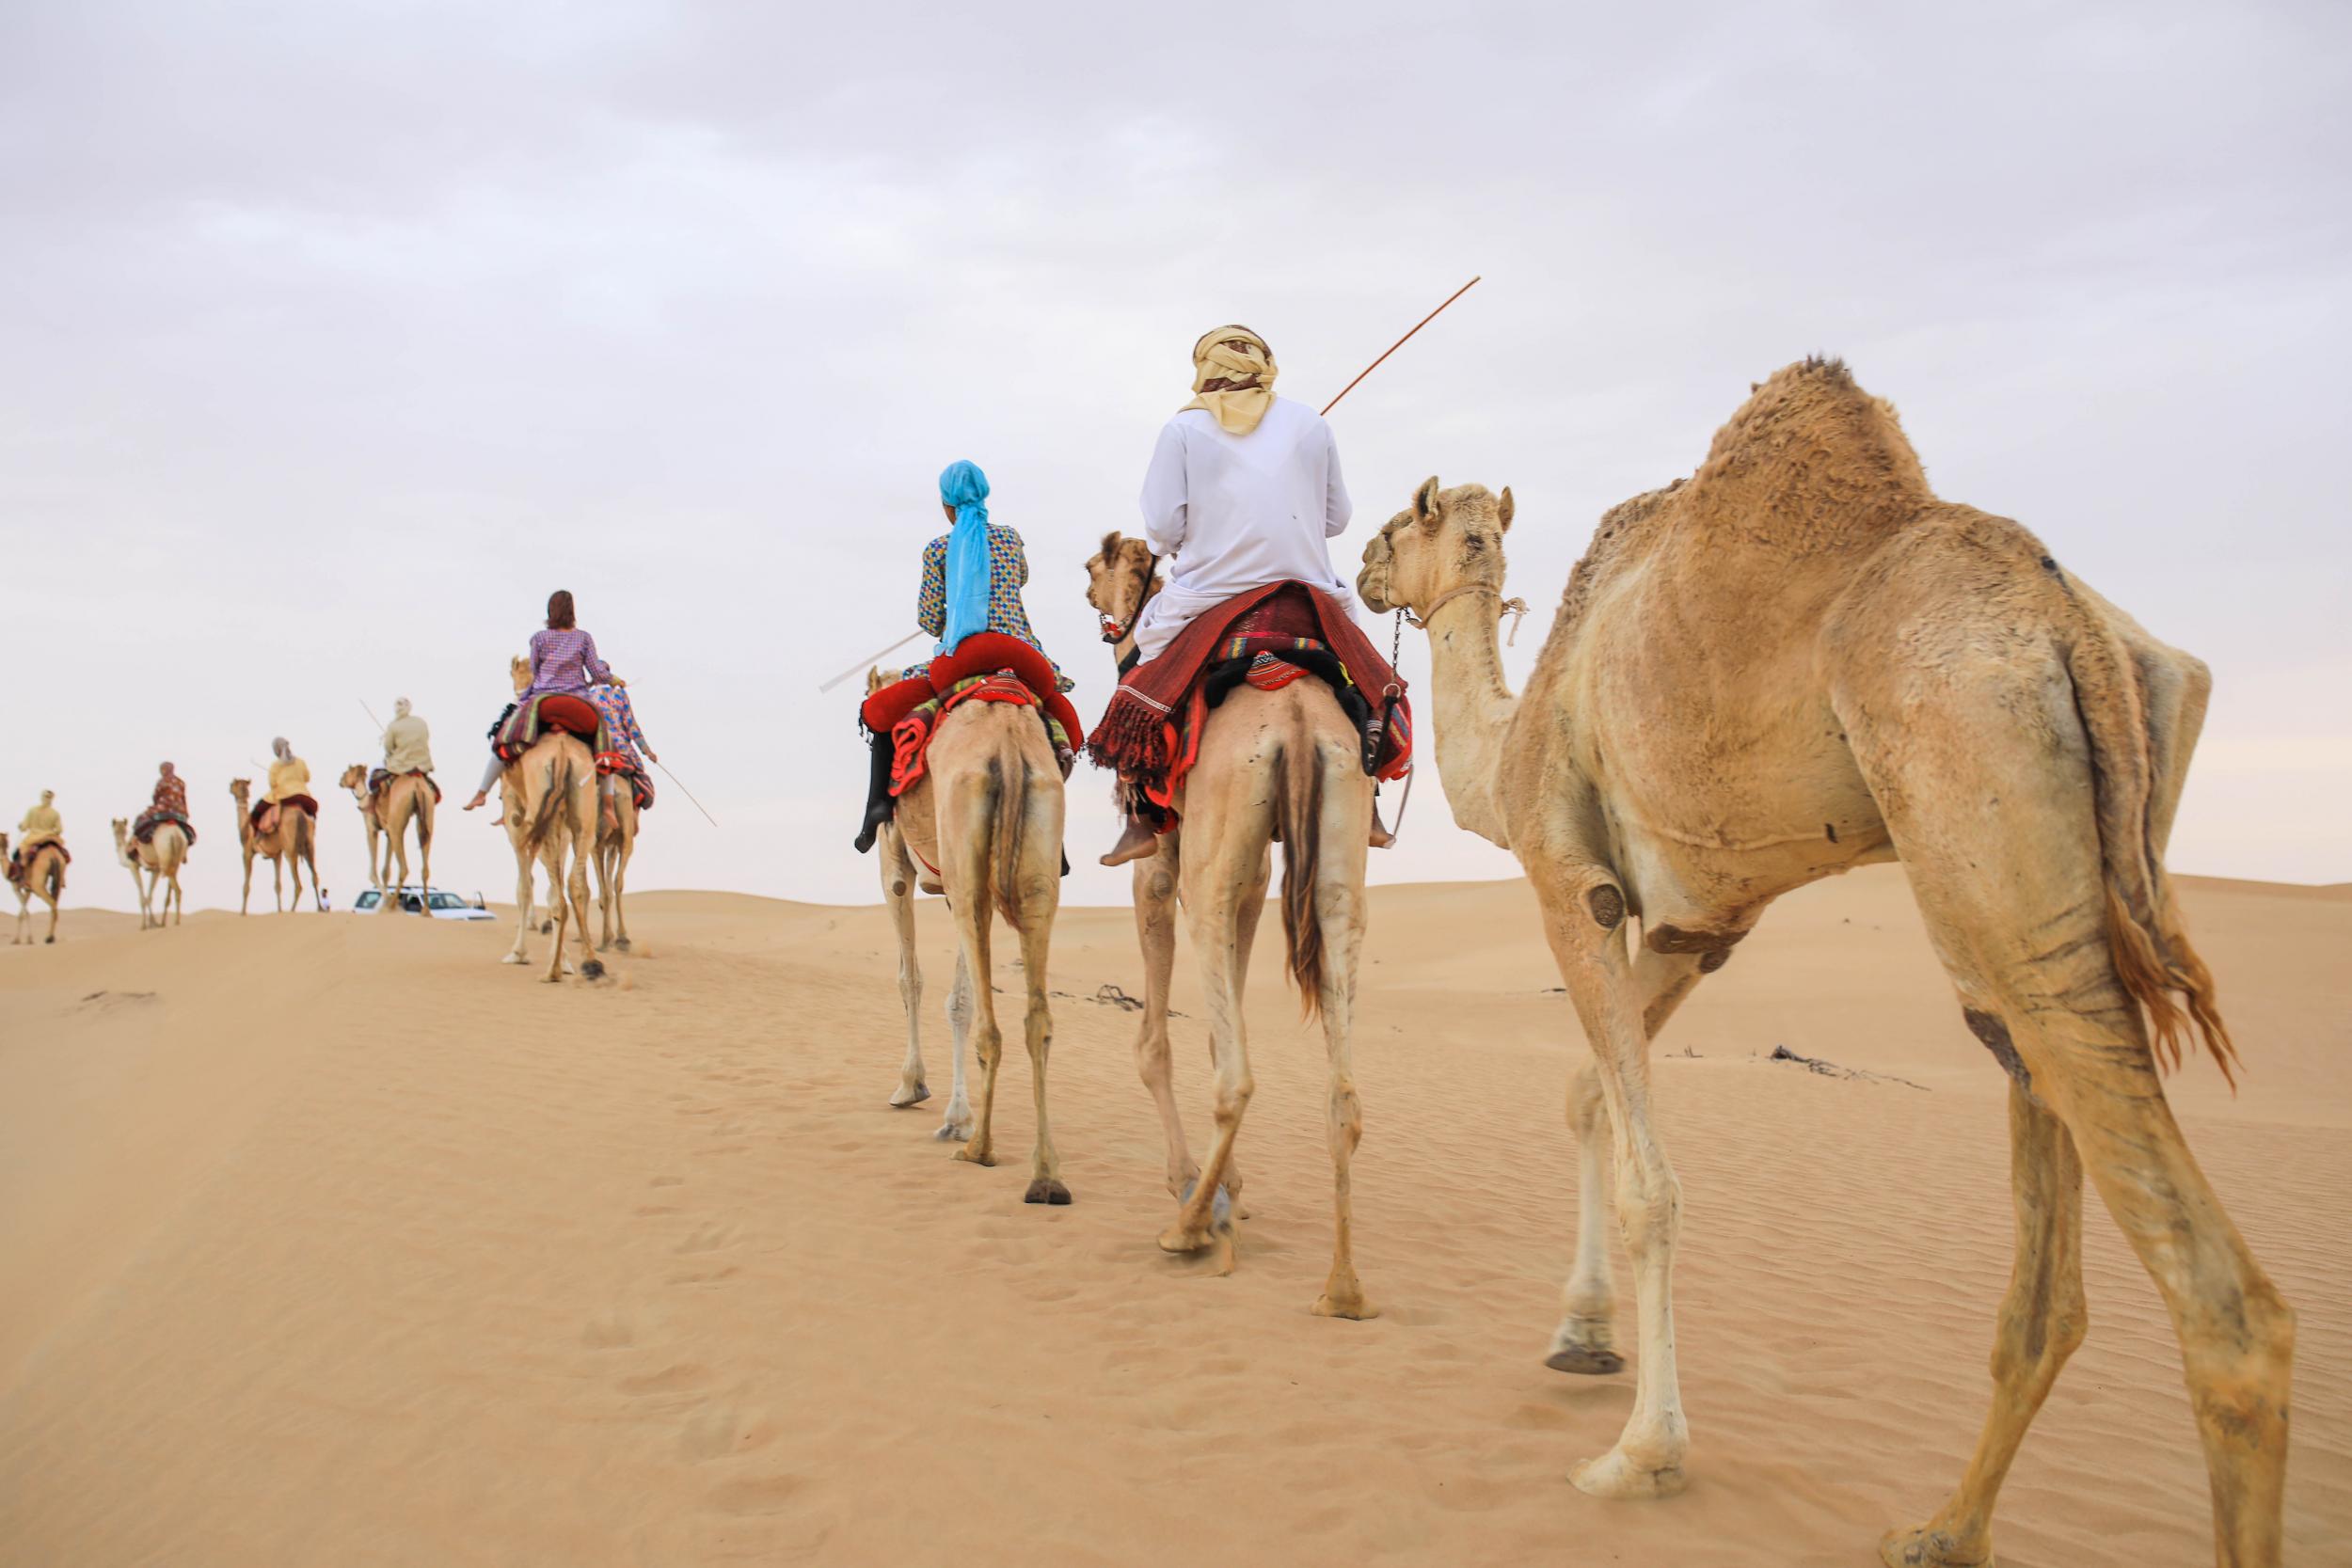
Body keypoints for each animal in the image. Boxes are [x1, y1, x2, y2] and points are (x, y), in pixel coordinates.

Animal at [229, 780, 325, 911]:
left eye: (233, 783)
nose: (229, 787)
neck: (246, 826)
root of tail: (301, 815)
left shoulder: (247, 852)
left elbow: (246, 886)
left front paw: (243, 912)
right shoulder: (276, 855)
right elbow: (278, 885)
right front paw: (279, 911)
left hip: (290, 849)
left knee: (298, 884)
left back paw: (292, 911)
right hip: (309, 845)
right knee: (314, 876)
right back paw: (319, 908)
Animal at [494, 653, 602, 982]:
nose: (517, 693)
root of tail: (563, 752)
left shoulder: (516, 820)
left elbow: (524, 886)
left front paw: (518, 953)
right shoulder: (560, 830)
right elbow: (551, 885)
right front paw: (566, 960)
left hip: (537, 817)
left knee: (553, 890)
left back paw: (553, 970)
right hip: (581, 813)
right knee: (575, 886)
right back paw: (590, 962)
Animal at [880, 667, 1073, 1203]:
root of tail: (1007, 742)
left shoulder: (894, 861)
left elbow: (910, 979)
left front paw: (912, 1088)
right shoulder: (951, 883)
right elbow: (960, 997)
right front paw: (956, 1116)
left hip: (964, 849)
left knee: (991, 1024)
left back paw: (980, 1149)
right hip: (1035, 858)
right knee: (1037, 1018)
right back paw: (1046, 1176)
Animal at [1082, 535, 1374, 1316]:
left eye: (1092, 571)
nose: (1099, 605)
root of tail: (1297, 722)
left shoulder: (1161, 869)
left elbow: (1157, 1042)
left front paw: (1195, 1186)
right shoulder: (1254, 882)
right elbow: (1222, 1023)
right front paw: (1231, 1190)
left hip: (1206, 869)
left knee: (1237, 1077)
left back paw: (1185, 1227)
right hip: (1337, 861)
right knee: (1342, 1093)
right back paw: (1343, 1287)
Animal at [1355, 359, 2286, 1568]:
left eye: (1397, 522)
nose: (1361, 566)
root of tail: (2071, 625)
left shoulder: (1570, 880)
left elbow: (1650, 1178)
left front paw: (1641, 1454)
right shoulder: (1697, 928)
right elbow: (1587, 1096)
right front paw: (1580, 1334)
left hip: (1974, 797)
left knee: (2224, 1306)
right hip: (2044, 875)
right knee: (2046, 1228)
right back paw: (1942, 1529)